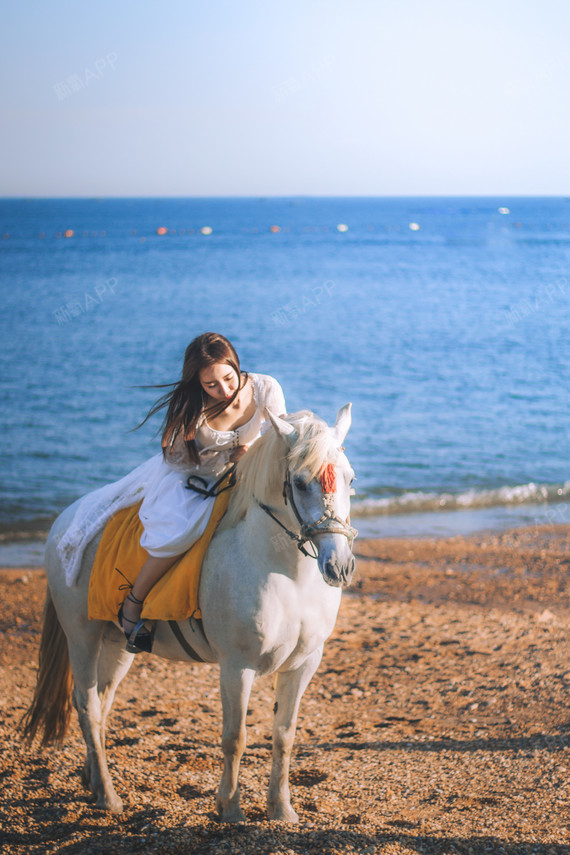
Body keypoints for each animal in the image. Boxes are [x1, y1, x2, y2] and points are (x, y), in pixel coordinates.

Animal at [21, 405, 357, 823]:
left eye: (349, 479)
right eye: (300, 481)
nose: (340, 566)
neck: (286, 575)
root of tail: (63, 521)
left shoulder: (303, 664)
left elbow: (284, 734)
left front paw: (281, 808)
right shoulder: (237, 665)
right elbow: (235, 737)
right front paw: (230, 808)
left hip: (115, 644)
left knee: (101, 701)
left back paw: (93, 780)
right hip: (81, 635)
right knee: (87, 706)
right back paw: (109, 796)